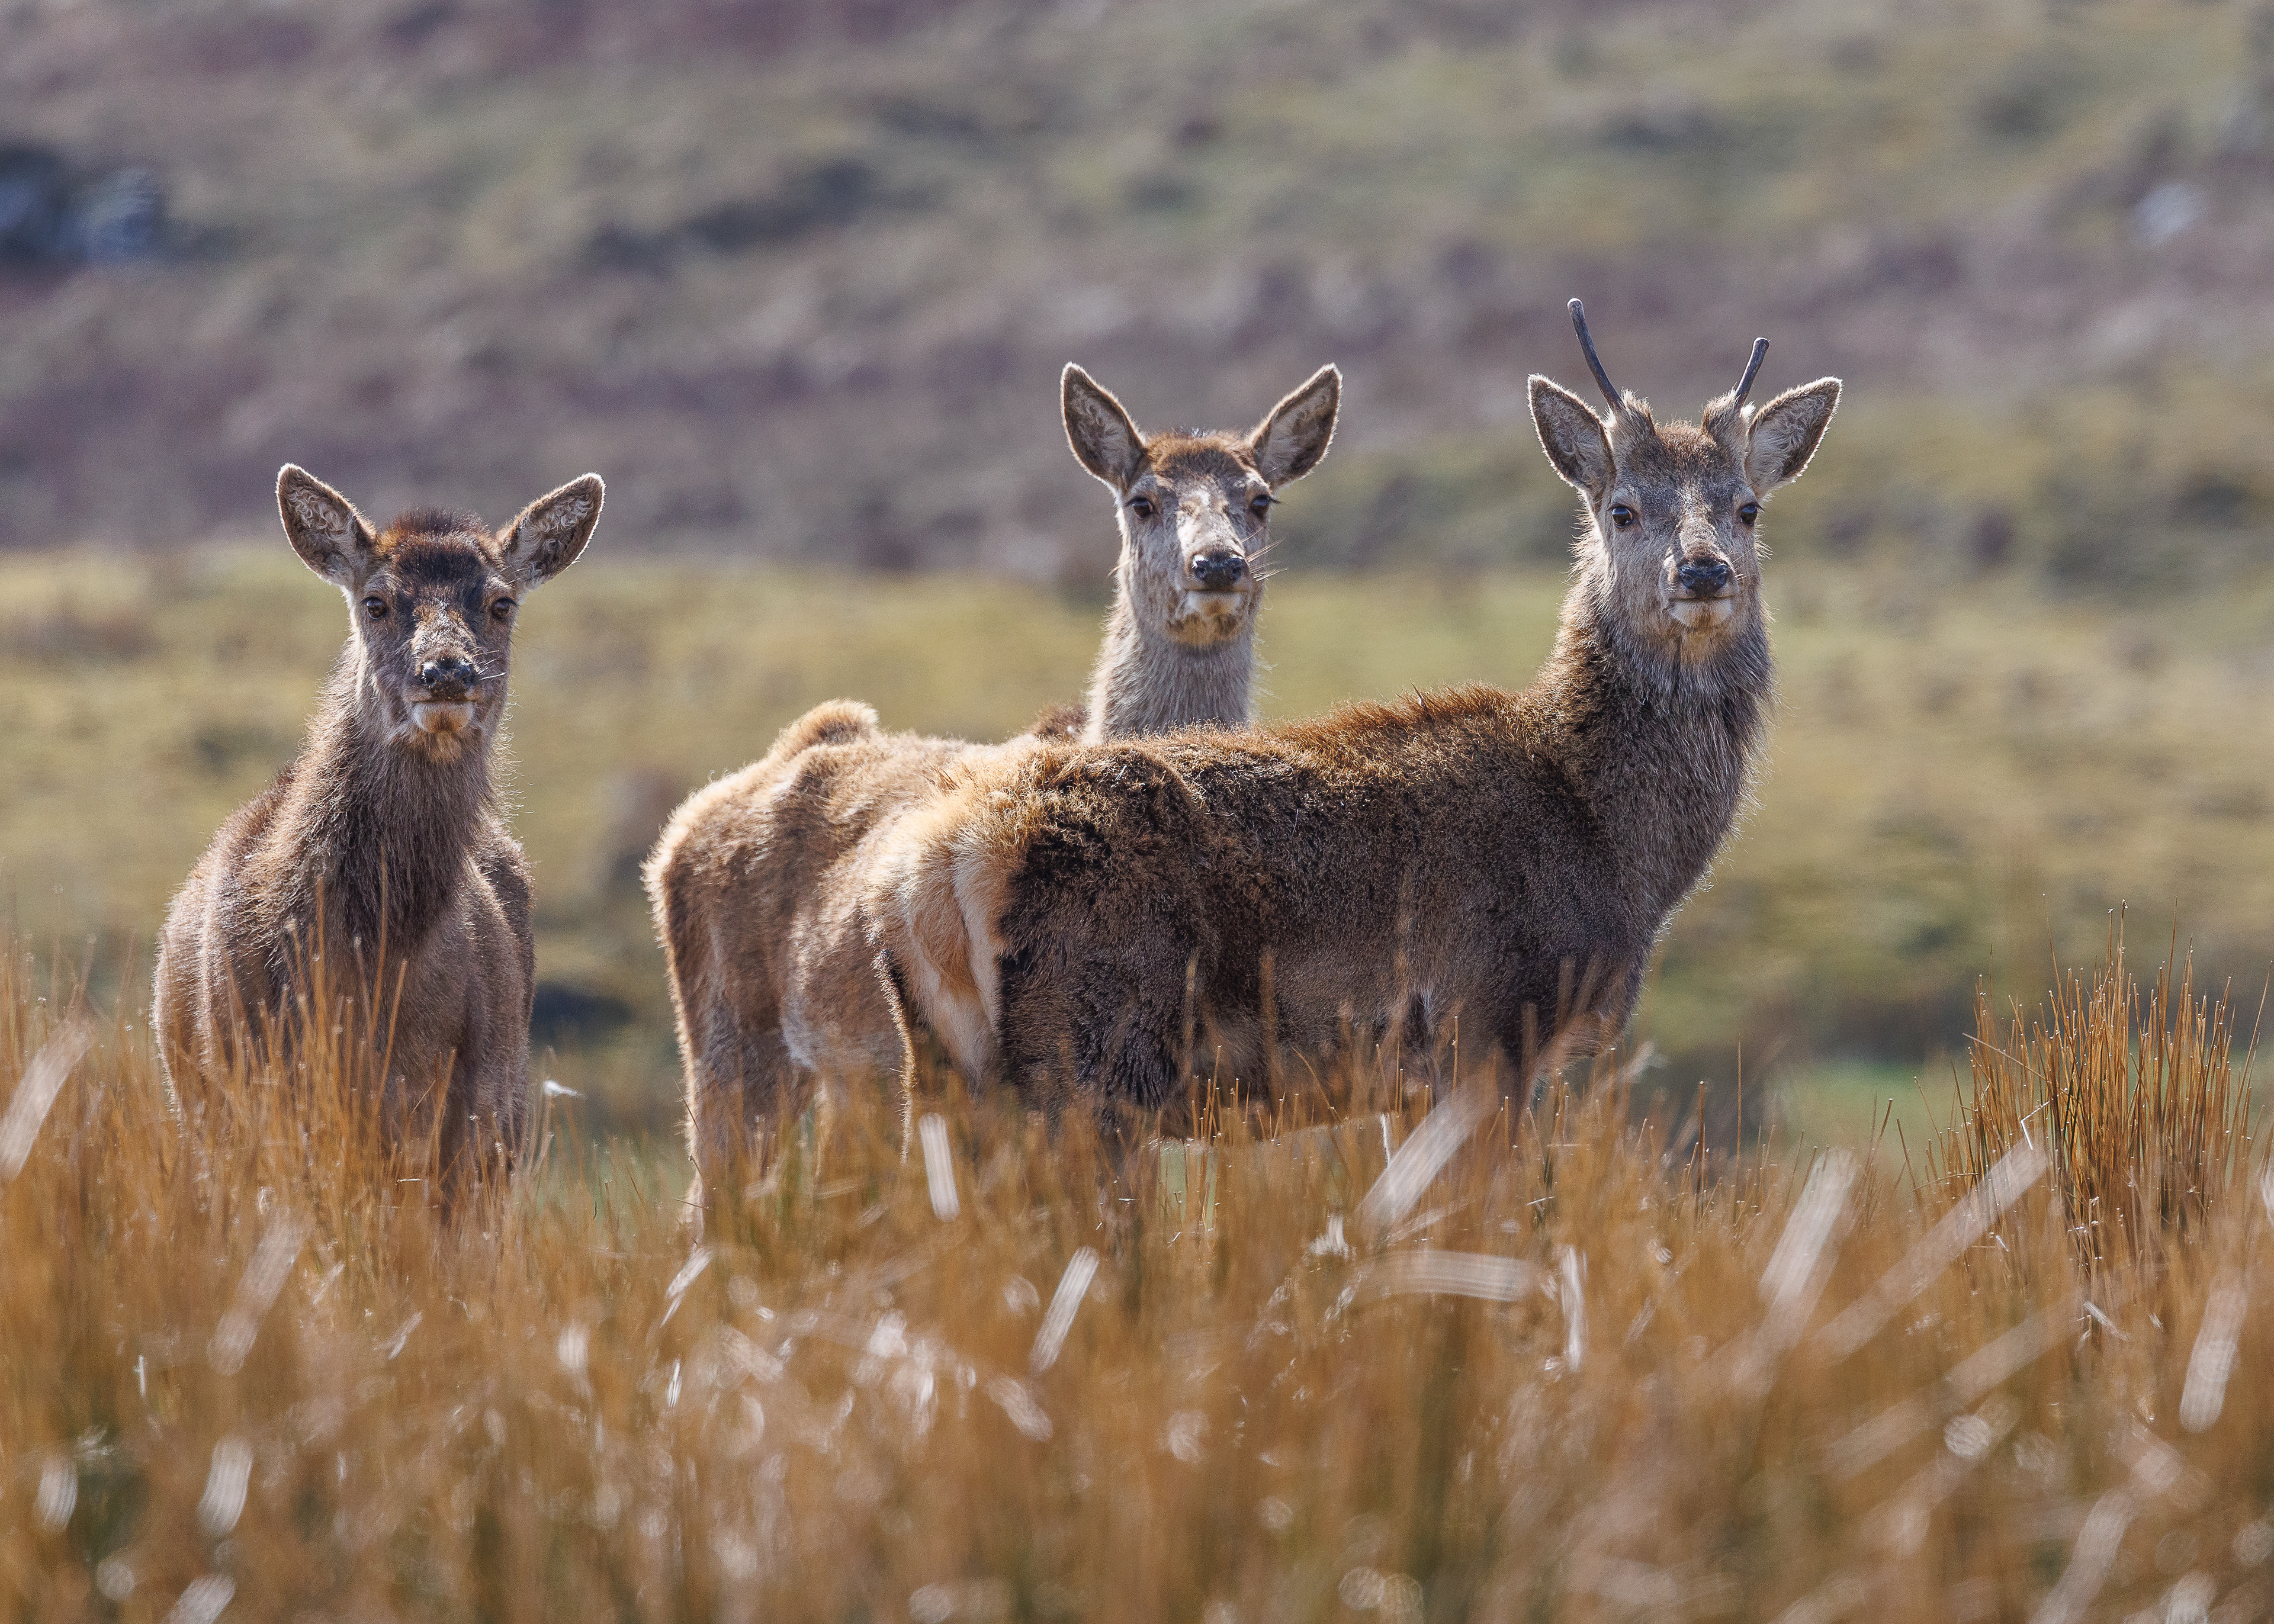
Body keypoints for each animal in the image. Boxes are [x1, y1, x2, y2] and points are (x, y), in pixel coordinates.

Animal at [646, 361, 1340, 1187]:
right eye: (1142, 500)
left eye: (1260, 498)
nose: (1219, 563)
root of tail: (675, 839)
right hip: (727, 1027)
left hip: (850, 1080)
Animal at [865, 304, 1839, 1117]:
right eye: (1624, 509)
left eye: (1748, 508)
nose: (1703, 570)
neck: (1618, 851)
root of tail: (930, 866)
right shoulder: (1487, 1020)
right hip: (1094, 1049)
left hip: (944, 1066)